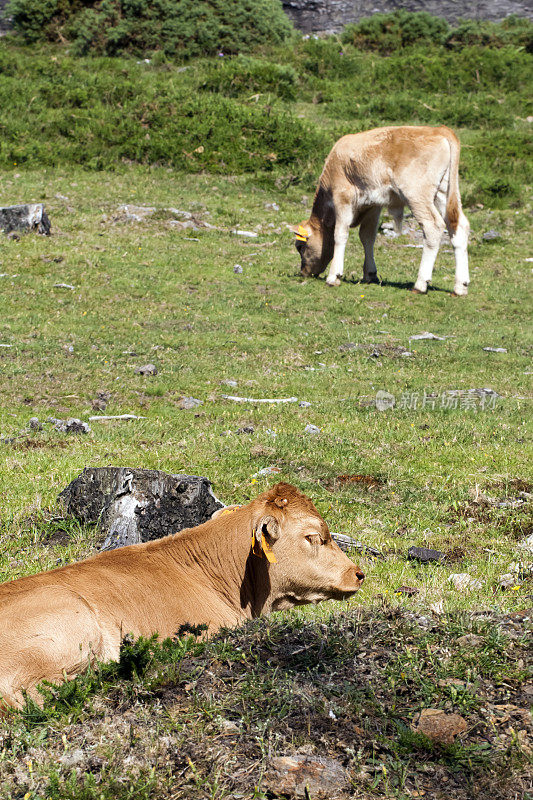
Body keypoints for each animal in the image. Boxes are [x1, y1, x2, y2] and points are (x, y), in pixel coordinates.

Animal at [290, 125, 470, 296]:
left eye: (300, 246)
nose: (304, 272)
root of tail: (439, 130)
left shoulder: (343, 197)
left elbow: (340, 234)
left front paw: (334, 276)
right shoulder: (373, 204)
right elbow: (367, 236)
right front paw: (370, 274)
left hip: (417, 194)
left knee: (432, 226)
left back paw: (420, 284)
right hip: (444, 192)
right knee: (459, 227)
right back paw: (460, 287)